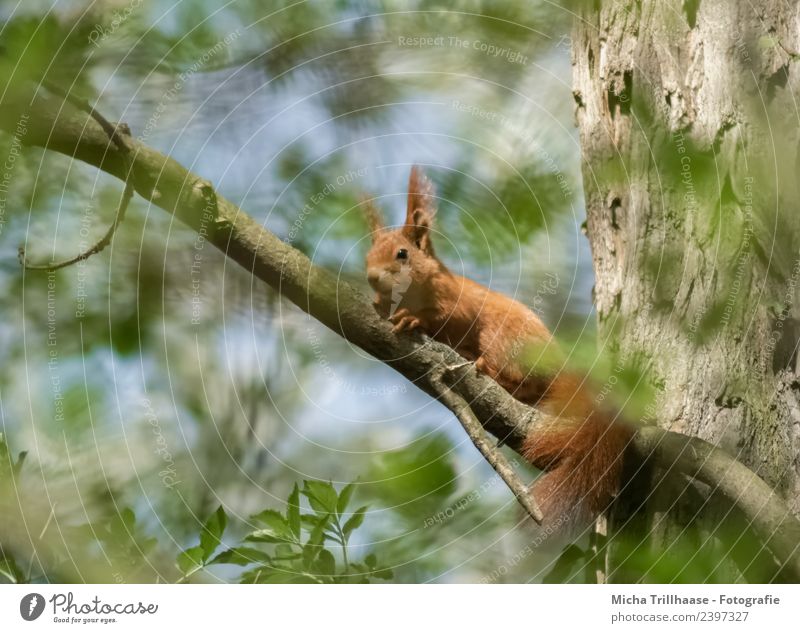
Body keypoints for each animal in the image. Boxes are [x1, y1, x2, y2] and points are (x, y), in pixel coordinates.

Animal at [362, 164, 632, 528]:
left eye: (402, 254)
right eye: (367, 255)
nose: (372, 277)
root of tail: (560, 366)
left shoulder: (455, 301)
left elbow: (442, 316)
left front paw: (412, 320)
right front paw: (381, 306)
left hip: (501, 338)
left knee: (519, 377)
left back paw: (486, 368)